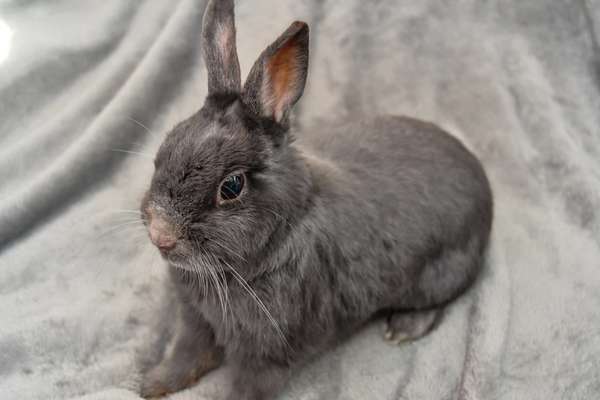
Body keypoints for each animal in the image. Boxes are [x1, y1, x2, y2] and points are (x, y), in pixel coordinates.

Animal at [137, 1, 492, 398]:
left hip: (440, 272)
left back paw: (404, 327)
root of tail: (483, 184)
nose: (161, 235)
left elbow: (247, 386)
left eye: (231, 187)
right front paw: (152, 384)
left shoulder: (266, 352)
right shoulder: (196, 320)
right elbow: (187, 353)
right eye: (165, 147)